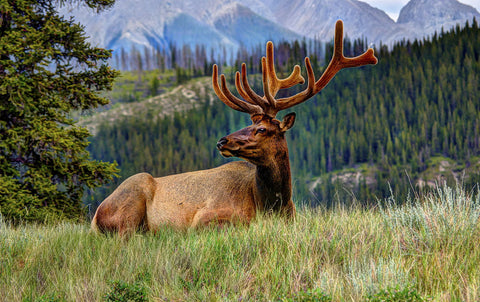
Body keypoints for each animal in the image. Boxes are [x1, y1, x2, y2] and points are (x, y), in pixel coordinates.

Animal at [90, 20, 376, 235]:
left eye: (262, 129)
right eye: (250, 124)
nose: (222, 141)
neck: (271, 205)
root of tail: (94, 217)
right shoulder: (204, 218)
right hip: (131, 200)